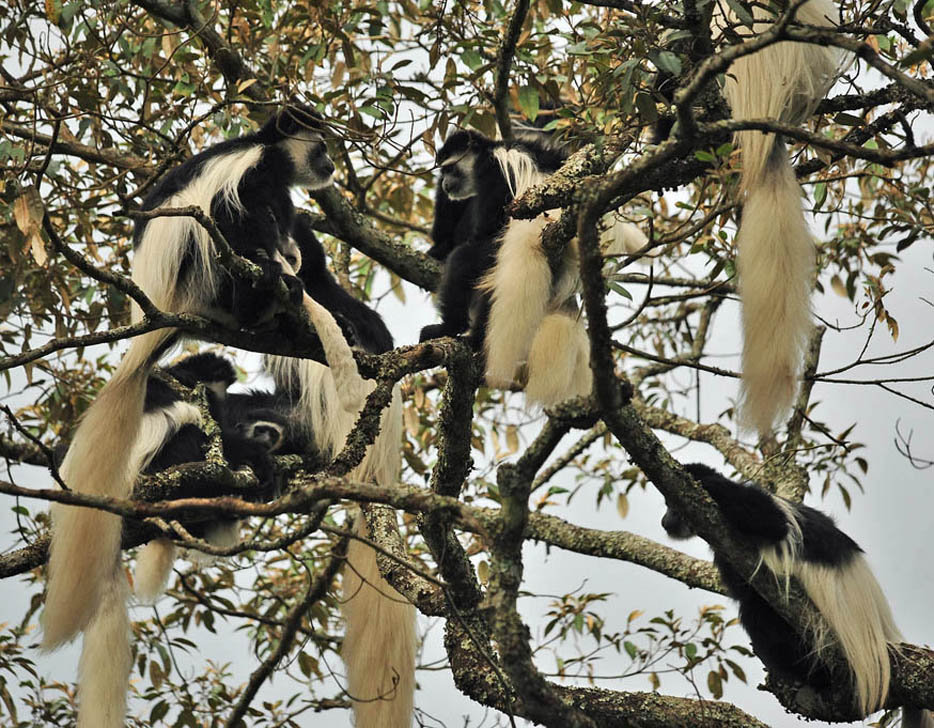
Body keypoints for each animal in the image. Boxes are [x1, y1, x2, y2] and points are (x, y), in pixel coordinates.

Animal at [661, 463, 933, 727]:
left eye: (671, 505)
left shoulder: (752, 506)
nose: (665, 520)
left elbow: (772, 523)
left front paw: (707, 483)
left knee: (756, 612)